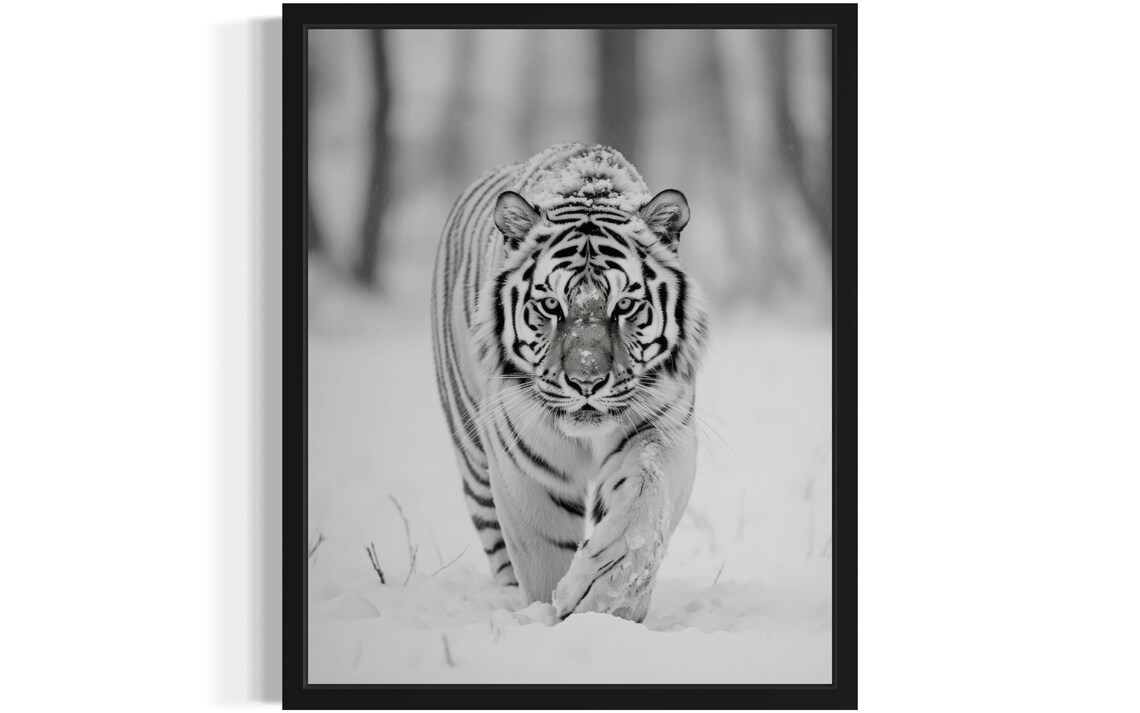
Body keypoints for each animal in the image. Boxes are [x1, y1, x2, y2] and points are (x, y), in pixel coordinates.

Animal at [431, 142, 709, 622]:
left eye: (625, 305)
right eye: (550, 305)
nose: (586, 382)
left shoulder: (663, 430)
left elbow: (643, 509)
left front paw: (602, 599)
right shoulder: (526, 465)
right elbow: (545, 554)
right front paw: (554, 615)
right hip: (474, 460)